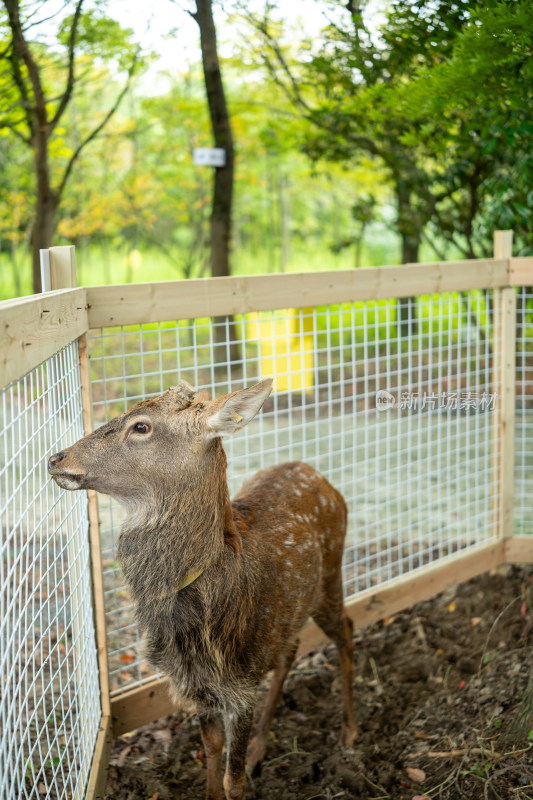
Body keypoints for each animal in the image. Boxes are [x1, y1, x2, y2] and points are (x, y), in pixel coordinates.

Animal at [48, 378, 358, 796]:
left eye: (140, 426)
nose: (56, 458)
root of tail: (316, 474)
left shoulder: (240, 683)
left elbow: (234, 780)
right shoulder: (197, 682)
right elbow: (210, 751)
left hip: (330, 578)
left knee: (346, 629)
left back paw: (349, 731)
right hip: (287, 614)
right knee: (290, 650)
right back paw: (261, 744)